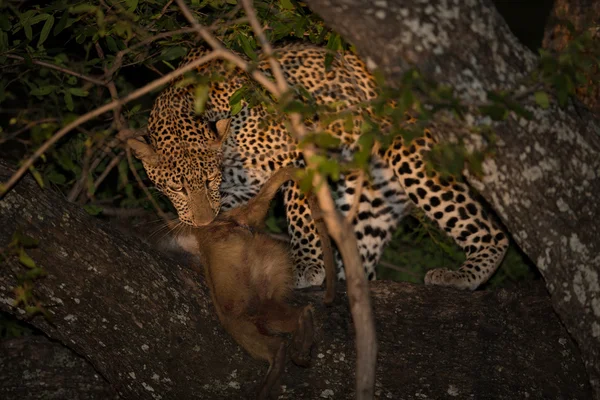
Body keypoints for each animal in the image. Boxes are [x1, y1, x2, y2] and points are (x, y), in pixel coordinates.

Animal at [129, 44, 508, 290]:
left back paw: (463, 276)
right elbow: (231, 218)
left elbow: (301, 212)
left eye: (208, 181)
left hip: (414, 160)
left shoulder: (302, 152)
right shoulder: (239, 187)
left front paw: (306, 265)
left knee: (493, 233)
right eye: (176, 188)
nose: (202, 221)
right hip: (373, 192)